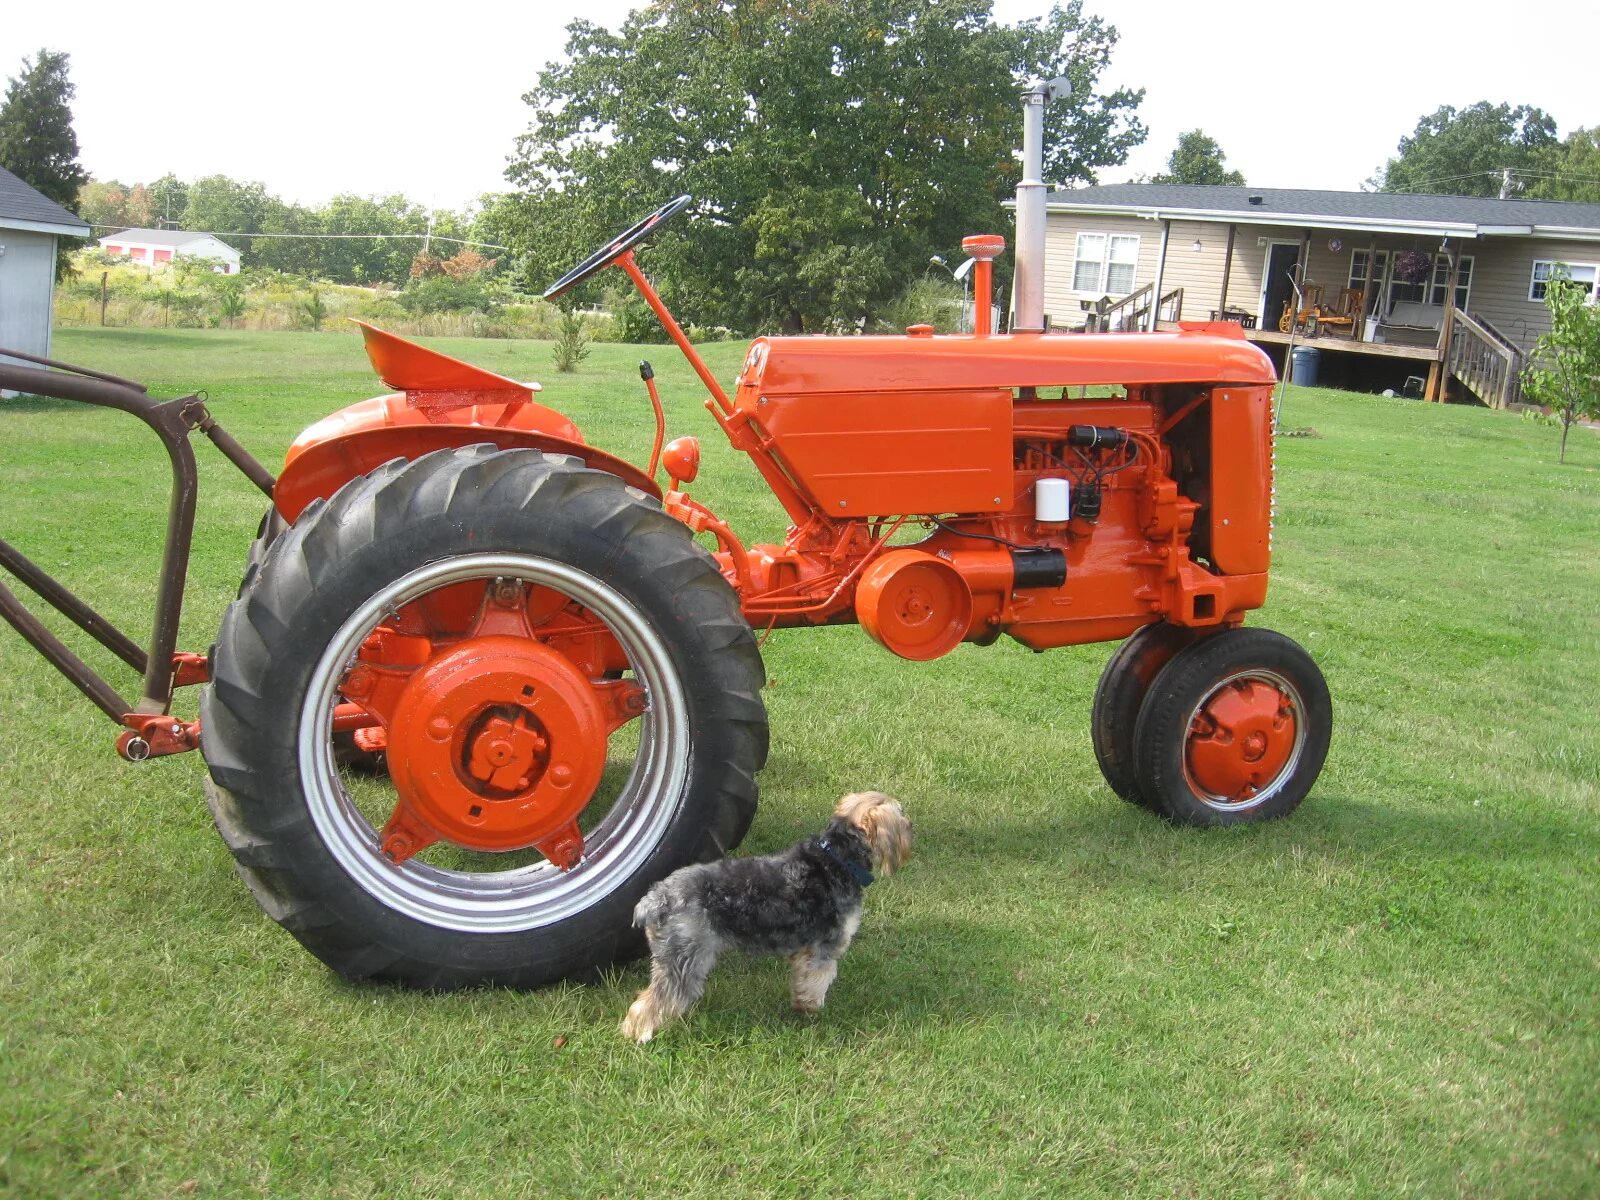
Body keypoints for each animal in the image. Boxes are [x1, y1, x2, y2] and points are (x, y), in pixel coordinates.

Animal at [617, 790, 915, 1043]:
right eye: (901, 815)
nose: (912, 827)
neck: (838, 859)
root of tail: (655, 899)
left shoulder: (805, 951)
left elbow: (801, 979)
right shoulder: (825, 948)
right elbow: (818, 981)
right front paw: (811, 1009)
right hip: (686, 958)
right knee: (650, 1002)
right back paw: (640, 1034)